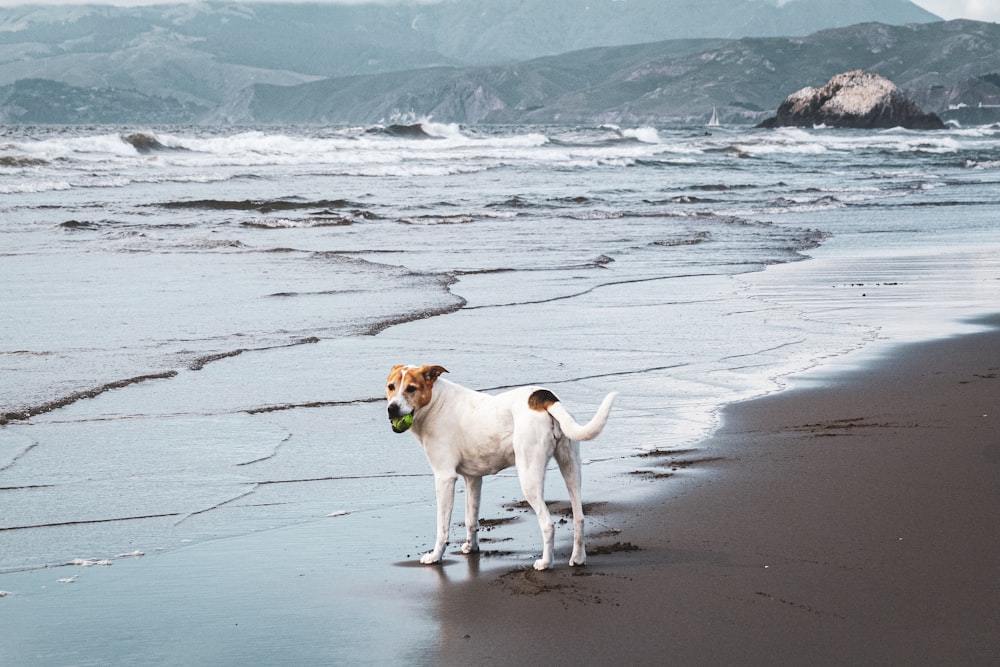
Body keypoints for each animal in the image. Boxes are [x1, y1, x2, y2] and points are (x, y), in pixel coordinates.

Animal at [384, 362, 612, 572]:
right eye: (391, 387)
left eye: (411, 388)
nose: (391, 408)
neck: (436, 403)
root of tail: (543, 398)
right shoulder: (473, 479)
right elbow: (471, 519)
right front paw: (471, 547)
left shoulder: (444, 478)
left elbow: (442, 527)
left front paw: (435, 556)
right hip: (571, 467)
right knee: (579, 517)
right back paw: (578, 558)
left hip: (529, 477)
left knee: (547, 524)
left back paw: (546, 563)